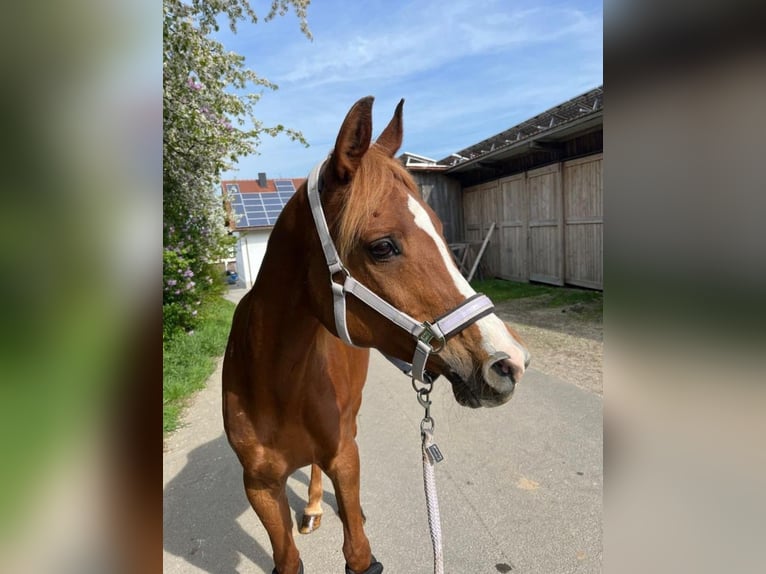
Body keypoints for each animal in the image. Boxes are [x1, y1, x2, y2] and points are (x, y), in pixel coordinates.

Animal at [224, 97, 528, 572]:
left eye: (441, 231)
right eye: (382, 246)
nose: (509, 361)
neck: (274, 384)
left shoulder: (344, 459)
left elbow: (358, 548)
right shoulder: (259, 487)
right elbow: (288, 558)